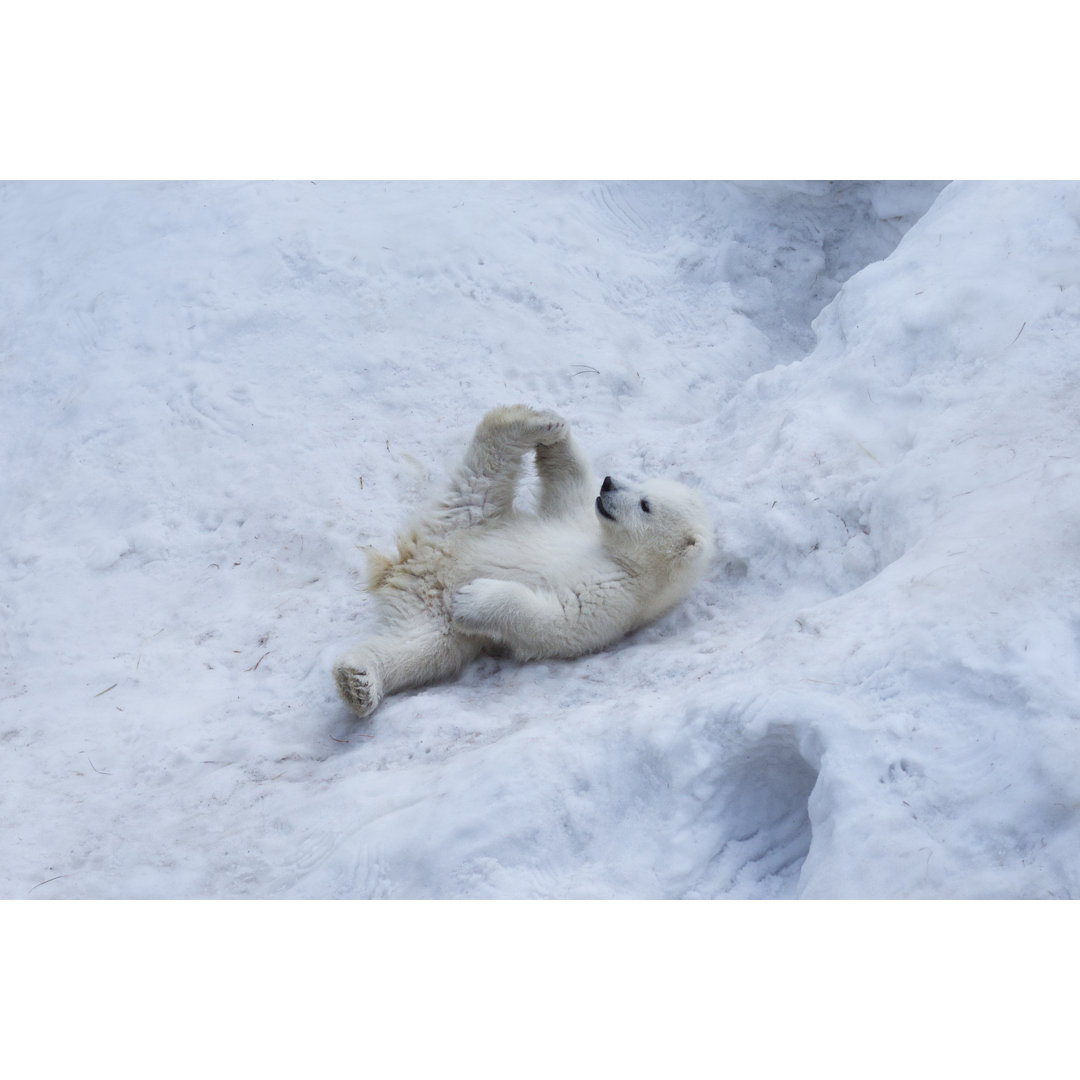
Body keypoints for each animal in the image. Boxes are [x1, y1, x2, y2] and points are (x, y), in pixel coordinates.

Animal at [332, 406, 712, 717]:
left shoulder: (618, 599)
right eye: (640, 483)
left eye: (645, 505)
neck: (620, 557)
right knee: (487, 466)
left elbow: (555, 620)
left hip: (435, 607)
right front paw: (559, 439)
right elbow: (569, 486)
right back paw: (540, 423)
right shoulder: (576, 521)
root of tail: (409, 566)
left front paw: (473, 599)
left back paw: (358, 683)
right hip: (469, 519)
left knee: (419, 648)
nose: (608, 484)